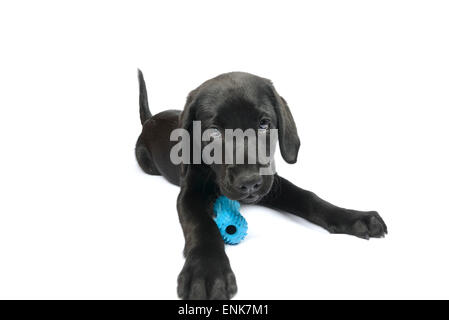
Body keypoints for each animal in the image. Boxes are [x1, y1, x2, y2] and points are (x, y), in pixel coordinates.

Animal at [134, 70, 384, 300]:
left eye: (264, 124)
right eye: (213, 132)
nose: (249, 182)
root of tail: (150, 120)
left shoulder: (272, 185)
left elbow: (307, 197)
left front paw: (354, 217)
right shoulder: (189, 194)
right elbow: (201, 225)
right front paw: (206, 271)